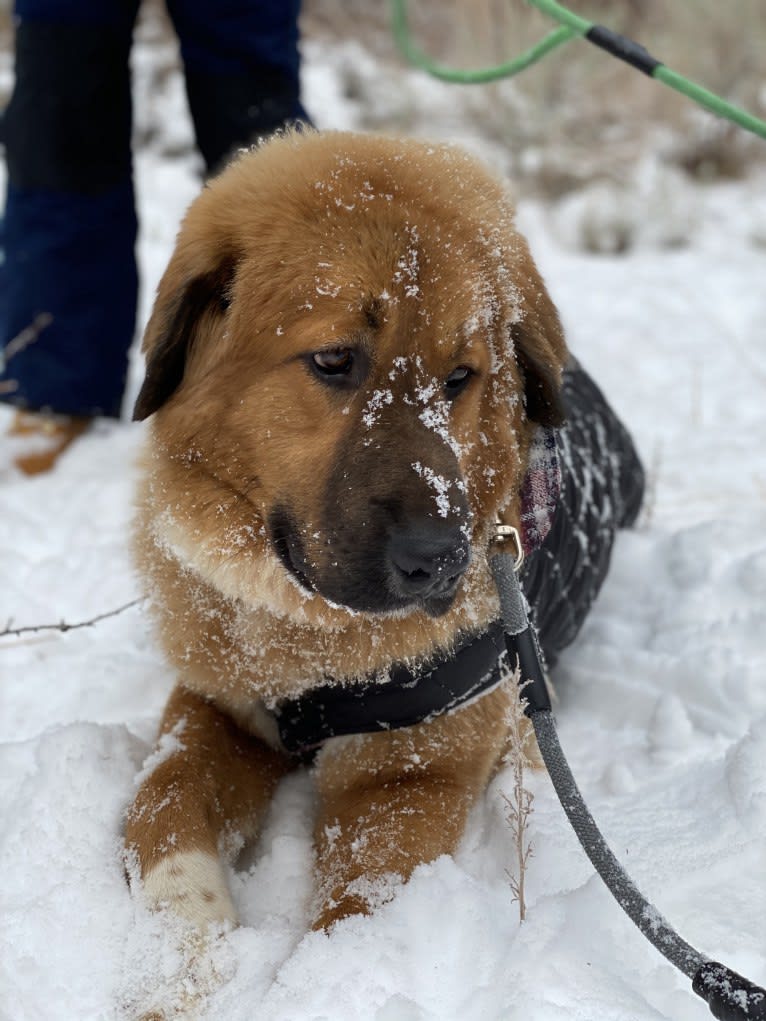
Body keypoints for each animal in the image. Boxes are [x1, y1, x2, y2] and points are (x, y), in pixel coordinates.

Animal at [126, 129, 567, 935]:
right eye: (334, 360)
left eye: (460, 378)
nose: (440, 560)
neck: (310, 643)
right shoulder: (216, 708)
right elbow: (161, 801)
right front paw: (182, 944)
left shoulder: (408, 777)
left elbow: (358, 910)